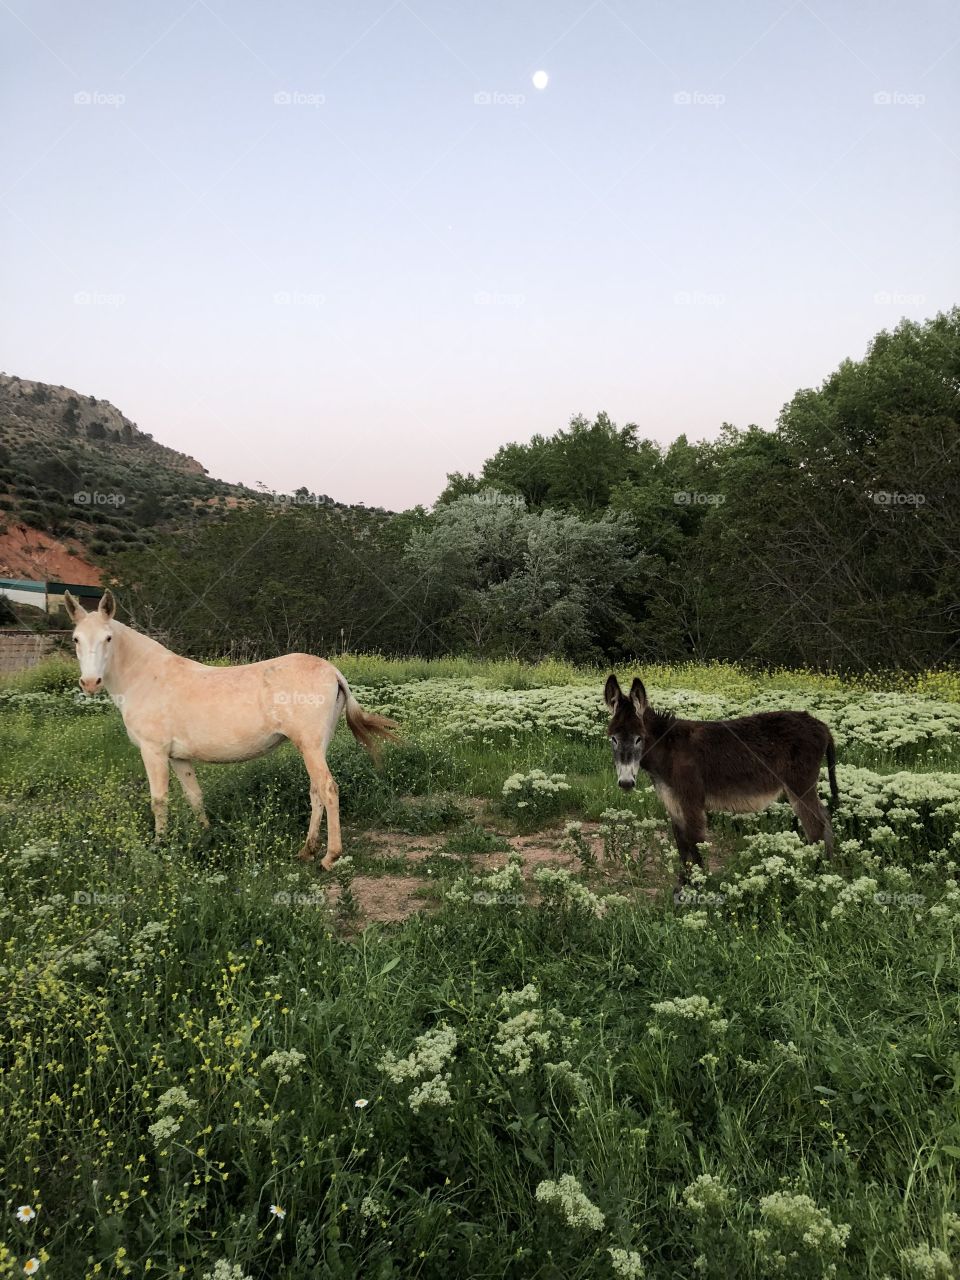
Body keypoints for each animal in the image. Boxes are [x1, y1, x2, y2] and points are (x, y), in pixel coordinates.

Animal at [65, 590, 397, 867]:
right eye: (76, 639)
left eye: (108, 638)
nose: (90, 683)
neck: (145, 677)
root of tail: (332, 671)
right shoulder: (178, 758)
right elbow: (195, 797)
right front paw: (206, 836)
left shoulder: (153, 752)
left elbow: (159, 800)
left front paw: (160, 847)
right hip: (314, 747)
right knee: (316, 790)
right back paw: (307, 849)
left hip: (311, 746)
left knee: (328, 789)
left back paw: (330, 856)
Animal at [604, 674, 838, 881]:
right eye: (613, 739)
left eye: (639, 739)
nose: (626, 783)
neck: (669, 749)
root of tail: (823, 726)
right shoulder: (672, 804)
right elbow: (683, 850)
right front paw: (683, 886)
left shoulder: (692, 803)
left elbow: (696, 848)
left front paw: (699, 888)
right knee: (826, 819)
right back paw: (828, 868)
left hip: (800, 785)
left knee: (816, 827)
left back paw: (814, 876)